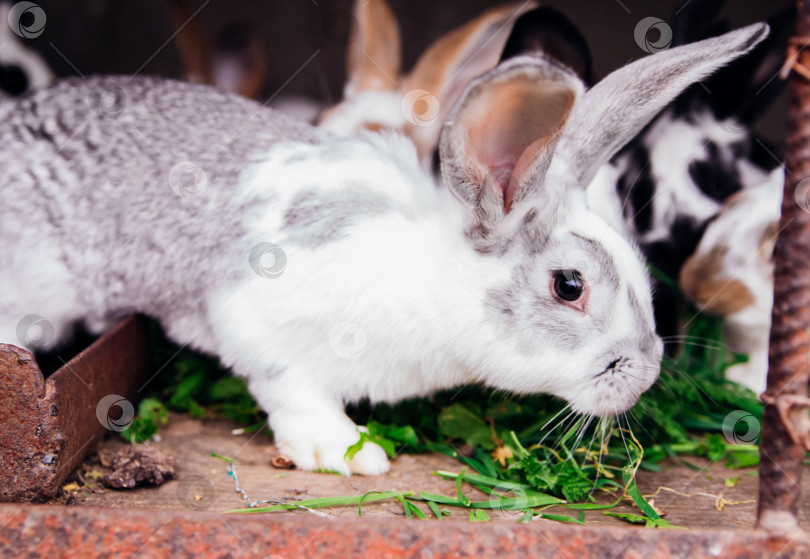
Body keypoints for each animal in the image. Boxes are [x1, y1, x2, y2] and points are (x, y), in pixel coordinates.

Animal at [0, 23, 768, 476]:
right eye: (569, 286)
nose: (644, 375)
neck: (436, 281)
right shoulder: (257, 321)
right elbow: (291, 388)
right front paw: (346, 452)